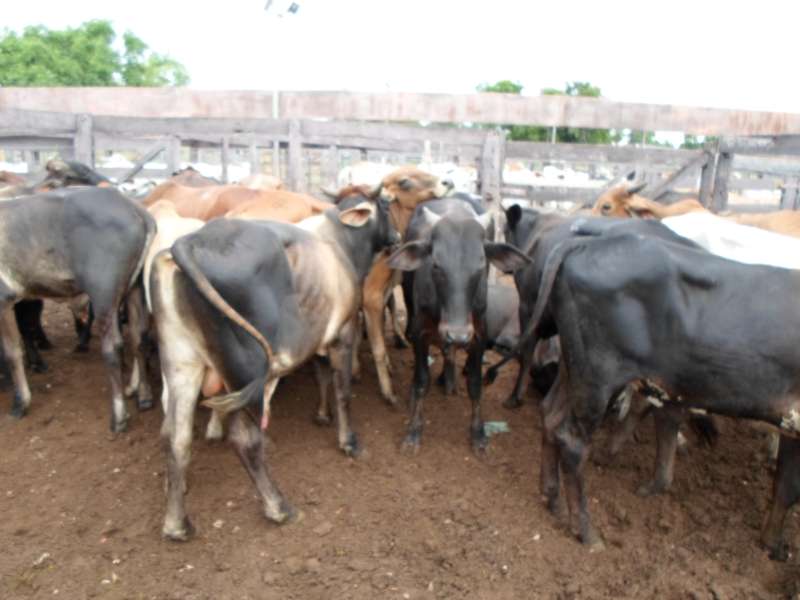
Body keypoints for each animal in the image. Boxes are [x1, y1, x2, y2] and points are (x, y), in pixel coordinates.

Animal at [0, 187, 155, 431]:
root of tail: (137, 210)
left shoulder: (5, 298)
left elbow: (11, 352)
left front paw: (20, 403)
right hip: (135, 287)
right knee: (140, 339)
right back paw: (145, 398)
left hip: (104, 294)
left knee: (113, 348)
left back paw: (119, 416)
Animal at [151, 191, 398, 540]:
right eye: (387, 205)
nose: (398, 237)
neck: (340, 243)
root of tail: (188, 243)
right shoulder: (345, 332)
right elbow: (343, 391)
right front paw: (349, 442)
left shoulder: (317, 338)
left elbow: (322, 376)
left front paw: (322, 416)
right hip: (247, 374)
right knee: (244, 440)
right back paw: (278, 508)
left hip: (181, 363)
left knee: (175, 436)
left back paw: (177, 524)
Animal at [387, 197, 530, 453]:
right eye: (436, 265)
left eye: (481, 268)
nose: (457, 334)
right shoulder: (421, 332)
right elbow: (421, 380)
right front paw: (413, 432)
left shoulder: (478, 335)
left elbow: (475, 383)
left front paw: (478, 434)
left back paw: (448, 378)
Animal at [520, 230, 800, 559]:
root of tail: (591, 242)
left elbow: (785, 488)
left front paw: (772, 544)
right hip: (597, 378)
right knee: (572, 442)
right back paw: (587, 533)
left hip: (573, 370)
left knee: (550, 417)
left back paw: (553, 501)